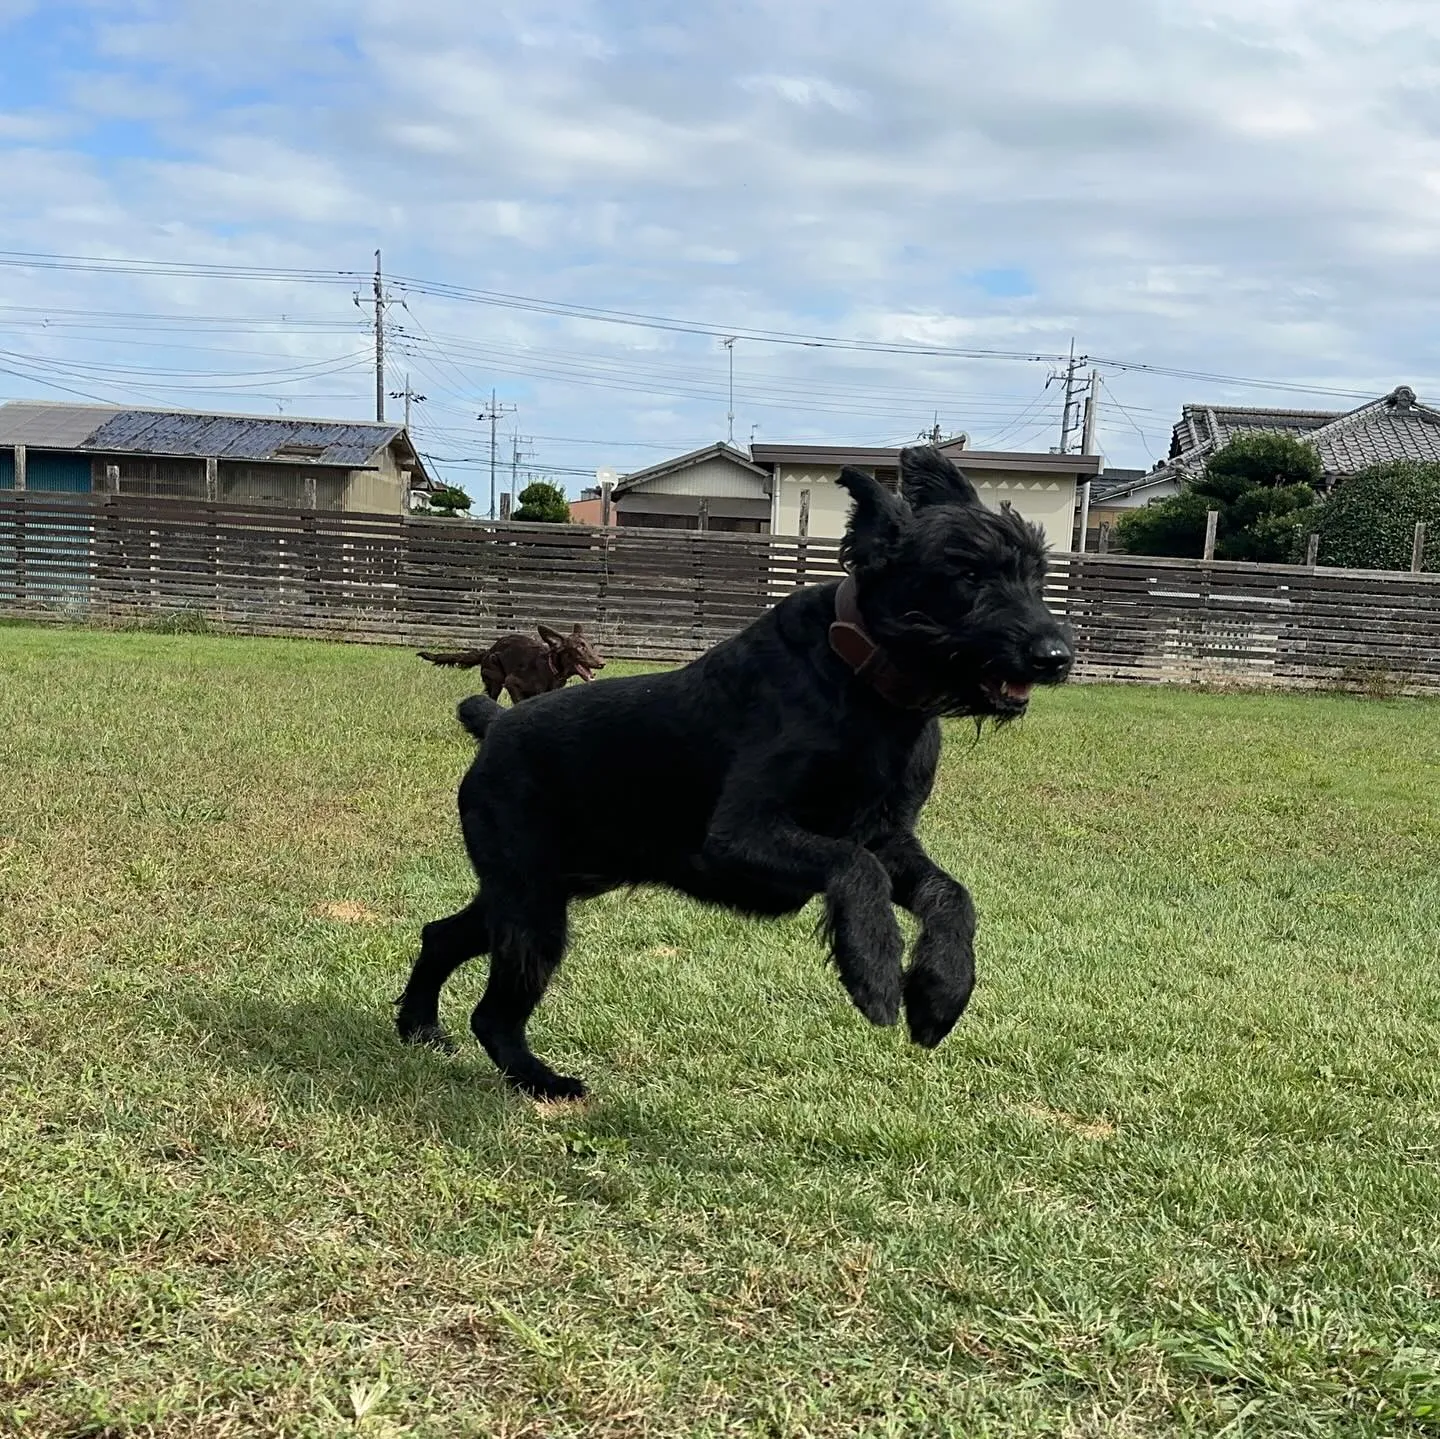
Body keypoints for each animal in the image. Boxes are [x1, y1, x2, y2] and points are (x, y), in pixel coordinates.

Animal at [417, 622, 601, 705]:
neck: (550, 669)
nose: (602, 663)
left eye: (591, 646)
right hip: (496, 679)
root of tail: (488, 651)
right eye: (579, 648)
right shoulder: (512, 683)